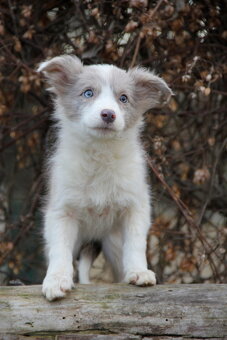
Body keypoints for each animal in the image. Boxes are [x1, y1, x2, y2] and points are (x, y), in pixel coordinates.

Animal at [38, 55, 172, 300]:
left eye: (123, 98)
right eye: (88, 93)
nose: (108, 114)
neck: (100, 153)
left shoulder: (136, 206)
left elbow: (136, 243)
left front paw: (139, 271)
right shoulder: (61, 211)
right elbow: (60, 249)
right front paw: (56, 280)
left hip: (114, 243)